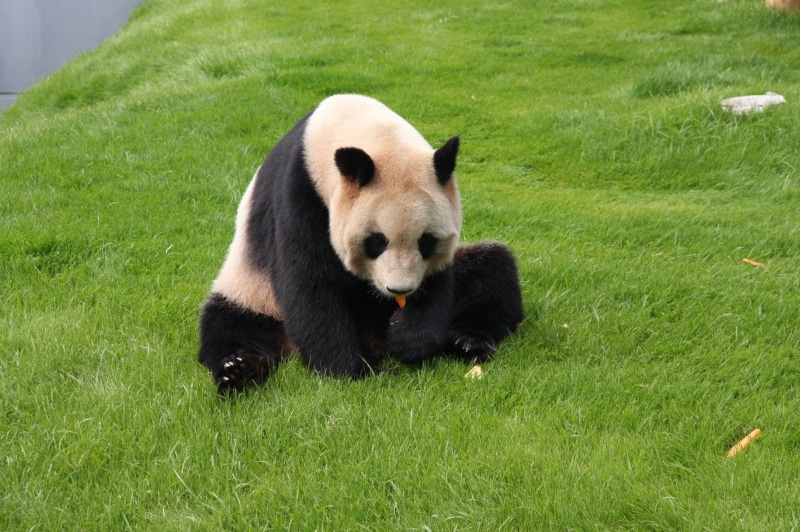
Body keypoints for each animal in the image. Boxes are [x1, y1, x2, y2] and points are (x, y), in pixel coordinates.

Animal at [199, 94, 524, 395]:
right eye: (376, 242)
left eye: (426, 241)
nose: (399, 290)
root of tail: (374, 339)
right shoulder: (299, 195)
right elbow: (310, 284)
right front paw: (356, 371)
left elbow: (435, 283)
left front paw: (408, 340)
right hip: (254, 292)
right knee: (231, 326)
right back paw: (239, 370)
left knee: (492, 271)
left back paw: (467, 341)